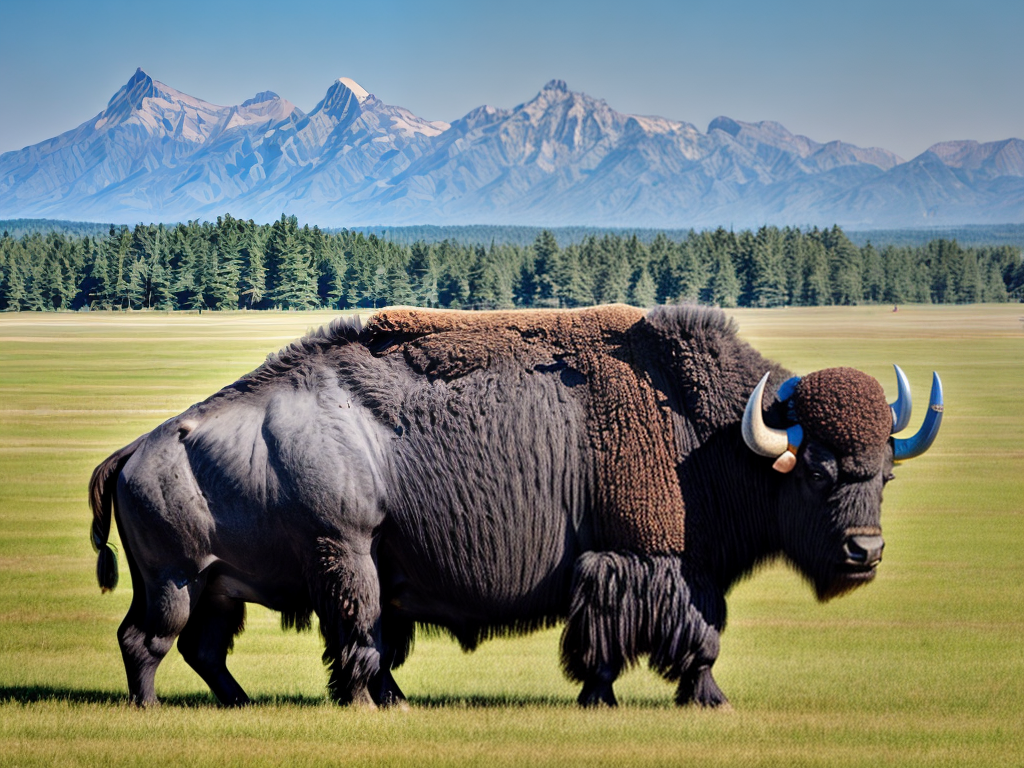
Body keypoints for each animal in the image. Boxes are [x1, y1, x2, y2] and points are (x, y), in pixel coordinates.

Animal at [89, 304, 942, 708]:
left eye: (884, 476)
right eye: (819, 471)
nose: (865, 552)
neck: (714, 432)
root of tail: (137, 447)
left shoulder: (628, 571)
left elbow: (608, 642)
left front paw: (606, 697)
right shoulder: (653, 561)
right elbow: (691, 639)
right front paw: (709, 700)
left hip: (219, 585)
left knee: (206, 648)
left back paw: (262, 704)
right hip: (239, 570)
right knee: (158, 641)